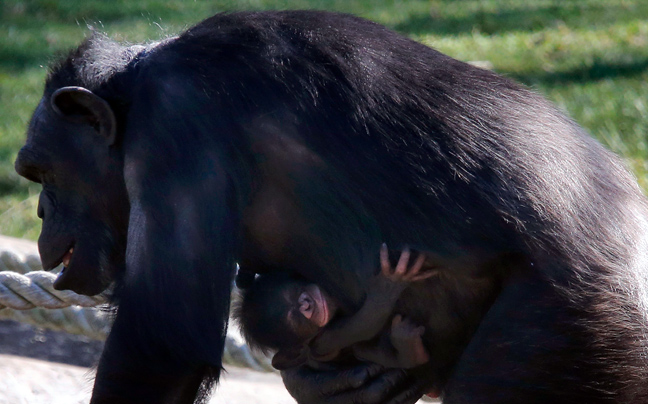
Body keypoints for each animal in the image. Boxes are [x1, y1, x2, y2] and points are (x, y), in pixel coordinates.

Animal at [235, 245, 432, 370]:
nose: (306, 304)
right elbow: (362, 324)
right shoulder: (324, 339)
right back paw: (411, 350)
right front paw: (388, 285)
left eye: (297, 293)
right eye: (298, 320)